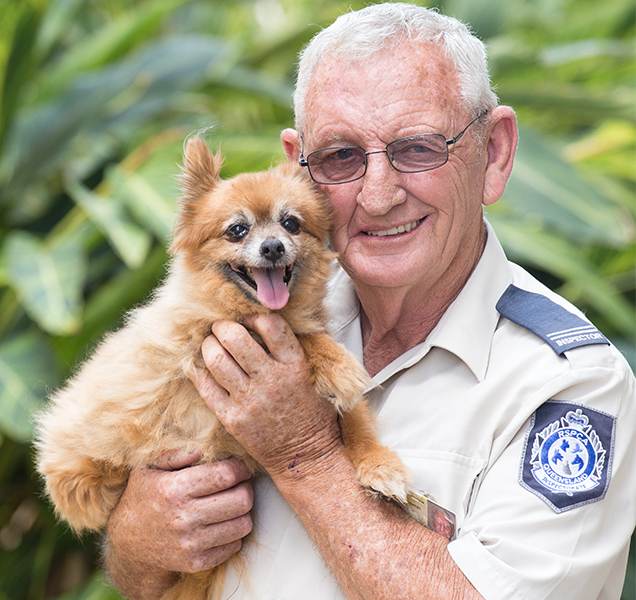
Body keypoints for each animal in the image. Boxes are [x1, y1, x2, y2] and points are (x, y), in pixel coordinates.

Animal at [36, 137, 412, 600]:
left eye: (291, 224)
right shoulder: (209, 334)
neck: (266, 313)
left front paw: (379, 466)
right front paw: (339, 364)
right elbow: (307, 341)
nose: (272, 247)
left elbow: (354, 418)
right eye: (238, 230)